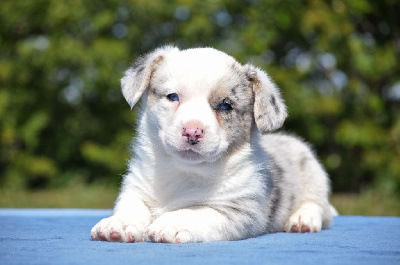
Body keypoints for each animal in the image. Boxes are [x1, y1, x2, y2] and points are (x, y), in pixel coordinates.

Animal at [90, 46, 334, 242]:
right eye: (172, 96)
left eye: (225, 106)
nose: (192, 131)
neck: (183, 171)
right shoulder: (135, 189)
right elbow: (132, 207)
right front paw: (118, 223)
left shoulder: (237, 211)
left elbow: (196, 211)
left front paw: (171, 223)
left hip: (313, 174)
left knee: (319, 207)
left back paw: (302, 219)